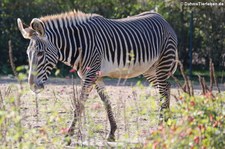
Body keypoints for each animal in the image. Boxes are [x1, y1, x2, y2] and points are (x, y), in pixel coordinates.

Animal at [17, 10, 178, 142]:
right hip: (150, 69)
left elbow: (79, 103)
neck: (79, 44)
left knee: (163, 91)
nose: (32, 86)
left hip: (163, 62)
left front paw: (68, 135)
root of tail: (163, 19)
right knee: (166, 87)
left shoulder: (91, 73)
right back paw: (167, 124)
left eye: (40, 53)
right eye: (28, 53)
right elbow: (105, 101)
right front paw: (112, 132)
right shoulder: (95, 76)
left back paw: (160, 129)